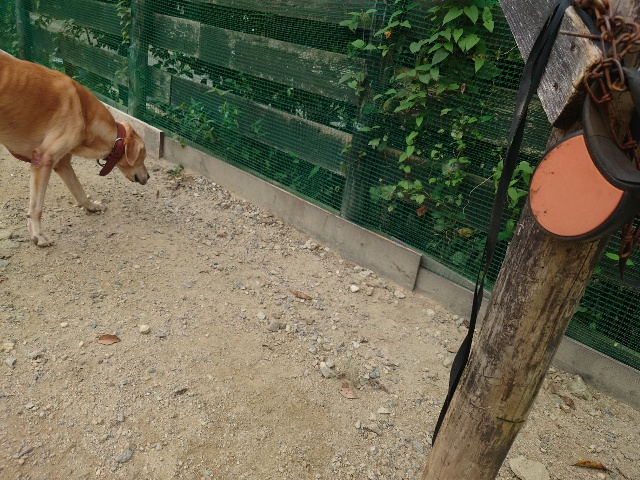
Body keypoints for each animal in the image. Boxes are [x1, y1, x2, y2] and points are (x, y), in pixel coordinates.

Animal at [0, 52, 150, 247]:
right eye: (143, 157)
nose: (149, 176)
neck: (84, 113)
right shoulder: (43, 159)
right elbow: (36, 207)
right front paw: (38, 235)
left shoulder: (62, 164)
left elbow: (79, 192)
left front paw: (92, 206)